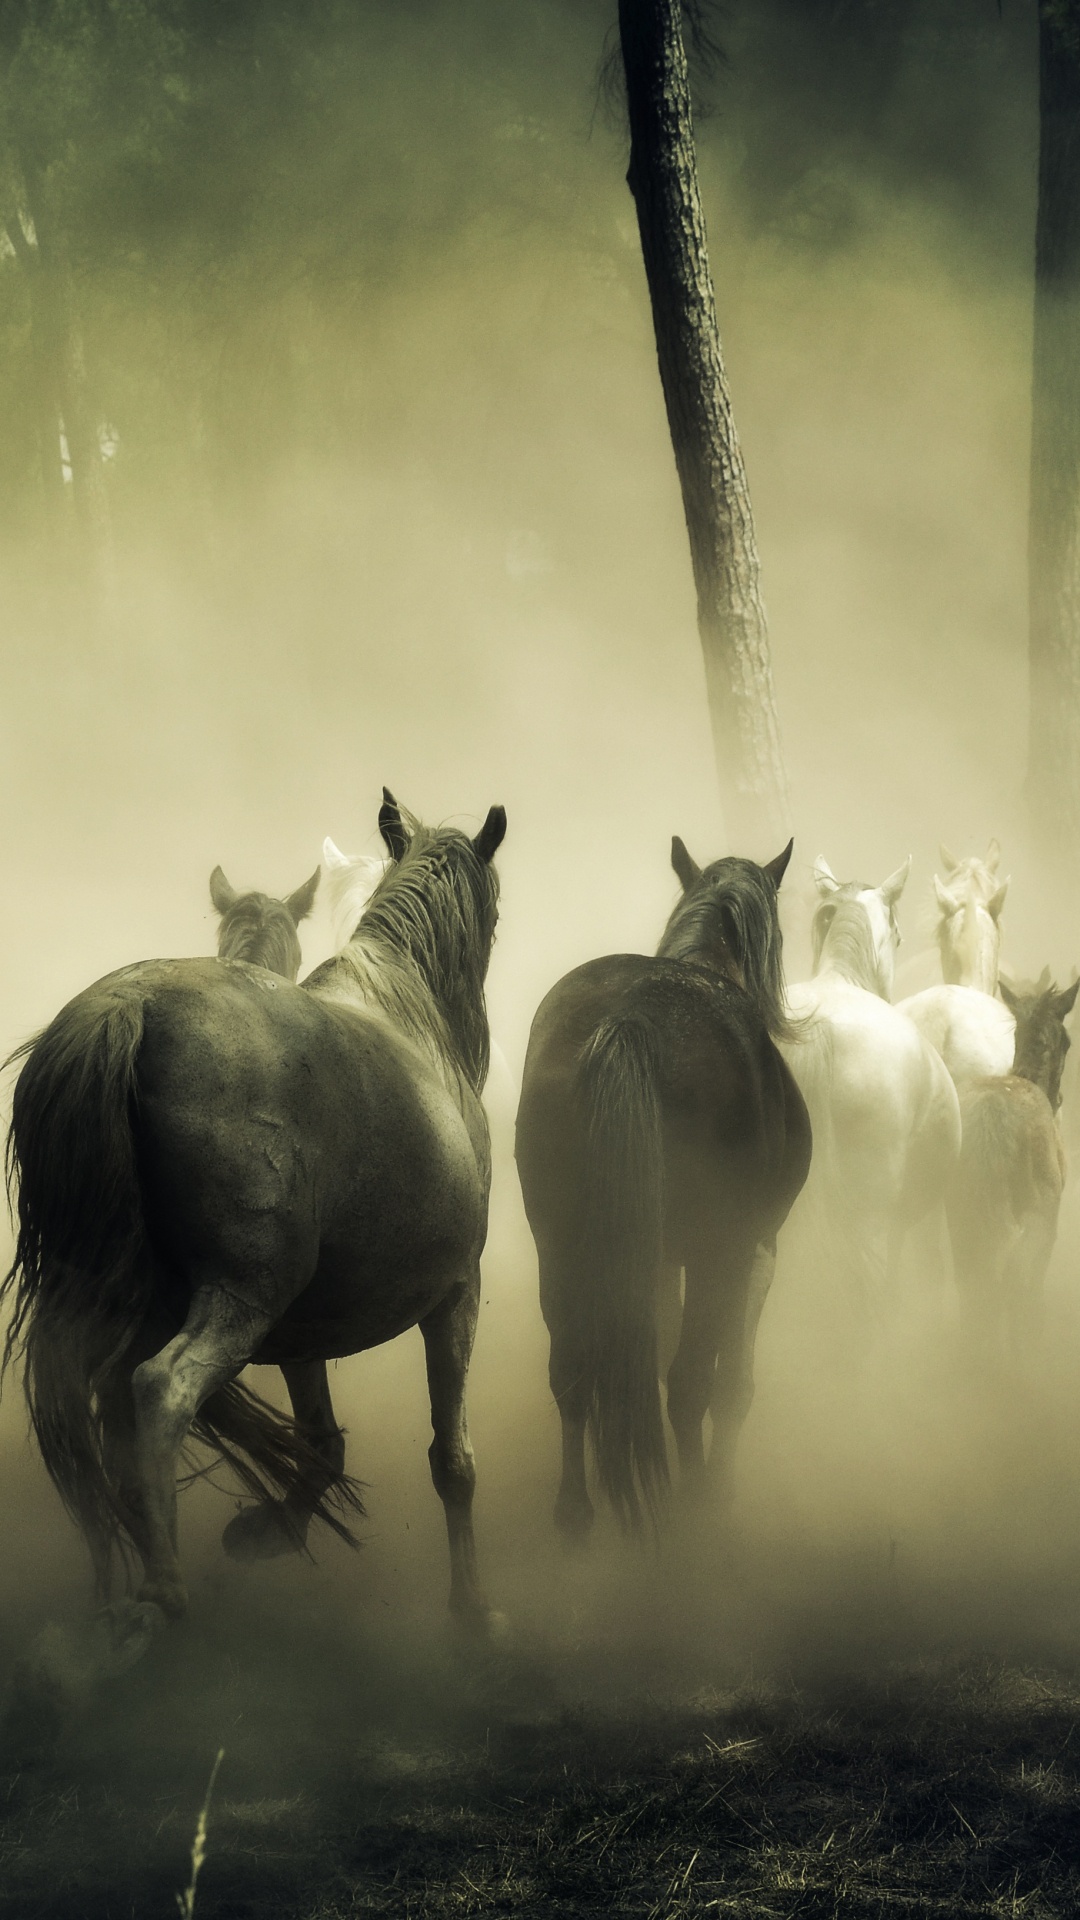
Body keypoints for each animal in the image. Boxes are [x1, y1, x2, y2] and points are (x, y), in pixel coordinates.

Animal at [1, 790, 507, 1632]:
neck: (411, 1015)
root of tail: (127, 1009)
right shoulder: (454, 1295)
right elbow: (453, 1461)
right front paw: (475, 1615)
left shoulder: (305, 1328)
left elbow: (322, 1443)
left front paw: (263, 1531)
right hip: (240, 1299)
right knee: (157, 1390)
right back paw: (161, 1592)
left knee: (79, 1416)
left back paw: (110, 1595)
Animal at [514, 836, 812, 1539]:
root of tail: (631, 1019)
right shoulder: (754, 1251)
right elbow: (731, 1385)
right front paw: (720, 1487)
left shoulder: (652, 1258)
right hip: (713, 1251)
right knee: (689, 1384)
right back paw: (693, 1509)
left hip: (560, 1243)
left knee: (571, 1369)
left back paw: (575, 1511)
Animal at [946, 974, 1078, 1360]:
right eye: (1067, 1042)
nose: (1060, 1099)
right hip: (1035, 1214)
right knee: (1017, 1283)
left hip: (963, 1215)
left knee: (974, 1285)